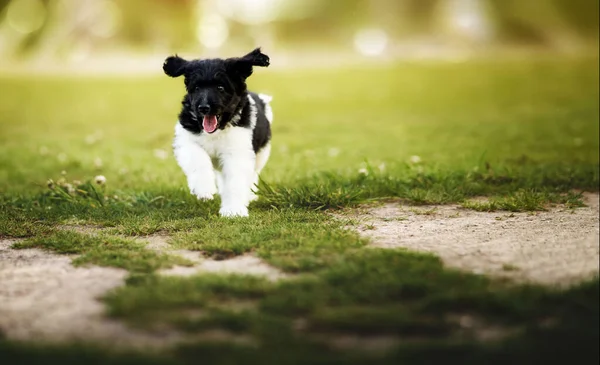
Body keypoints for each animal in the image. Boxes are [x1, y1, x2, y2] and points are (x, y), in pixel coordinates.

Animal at [163, 46, 274, 215]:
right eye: (197, 88)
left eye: (220, 88)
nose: (203, 108)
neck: (217, 130)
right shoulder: (186, 140)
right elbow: (198, 160)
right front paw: (204, 189)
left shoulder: (237, 151)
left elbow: (236, 181)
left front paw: (233, 210)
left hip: (261, 153)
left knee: (253, 174)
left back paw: (250, 195)